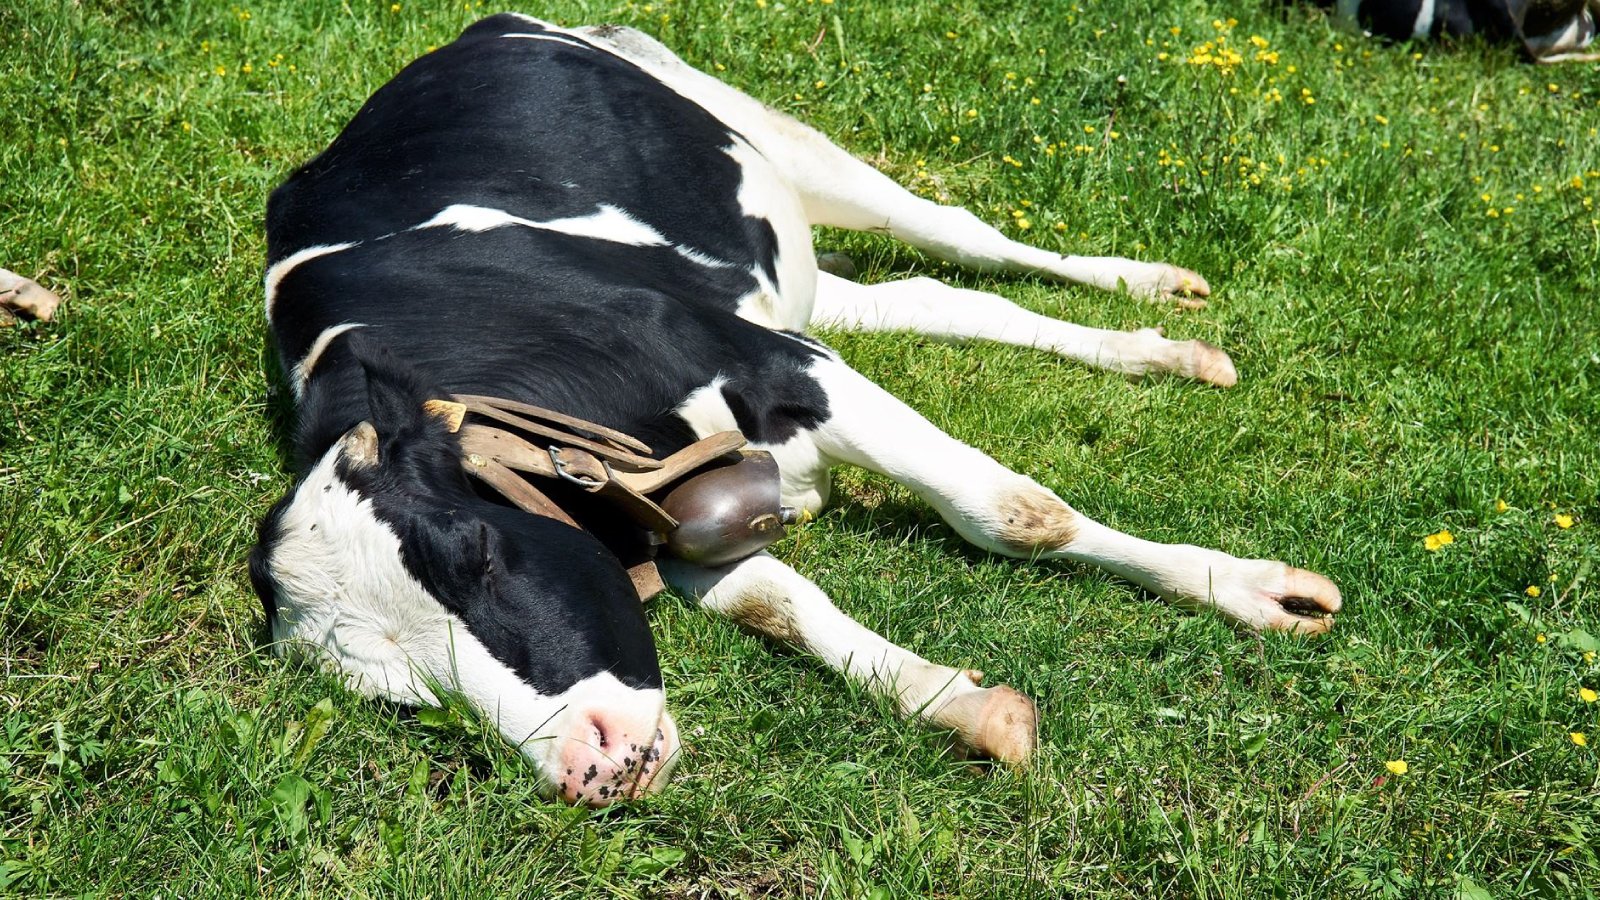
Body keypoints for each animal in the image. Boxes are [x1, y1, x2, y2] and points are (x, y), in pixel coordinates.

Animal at [249, 14, 1343, 808]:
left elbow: (1016, 515)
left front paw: (1246, 591)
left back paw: (1154, 295)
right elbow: (781, 606)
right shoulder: (667, 512)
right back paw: (1159, 350)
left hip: (778, 143)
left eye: (470, 553)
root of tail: (474, 34)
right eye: (400, 697)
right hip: (790, 276)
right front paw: (956, 704)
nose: (586, 769)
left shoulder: (774, 360)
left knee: (968, 241)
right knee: (935, 298)